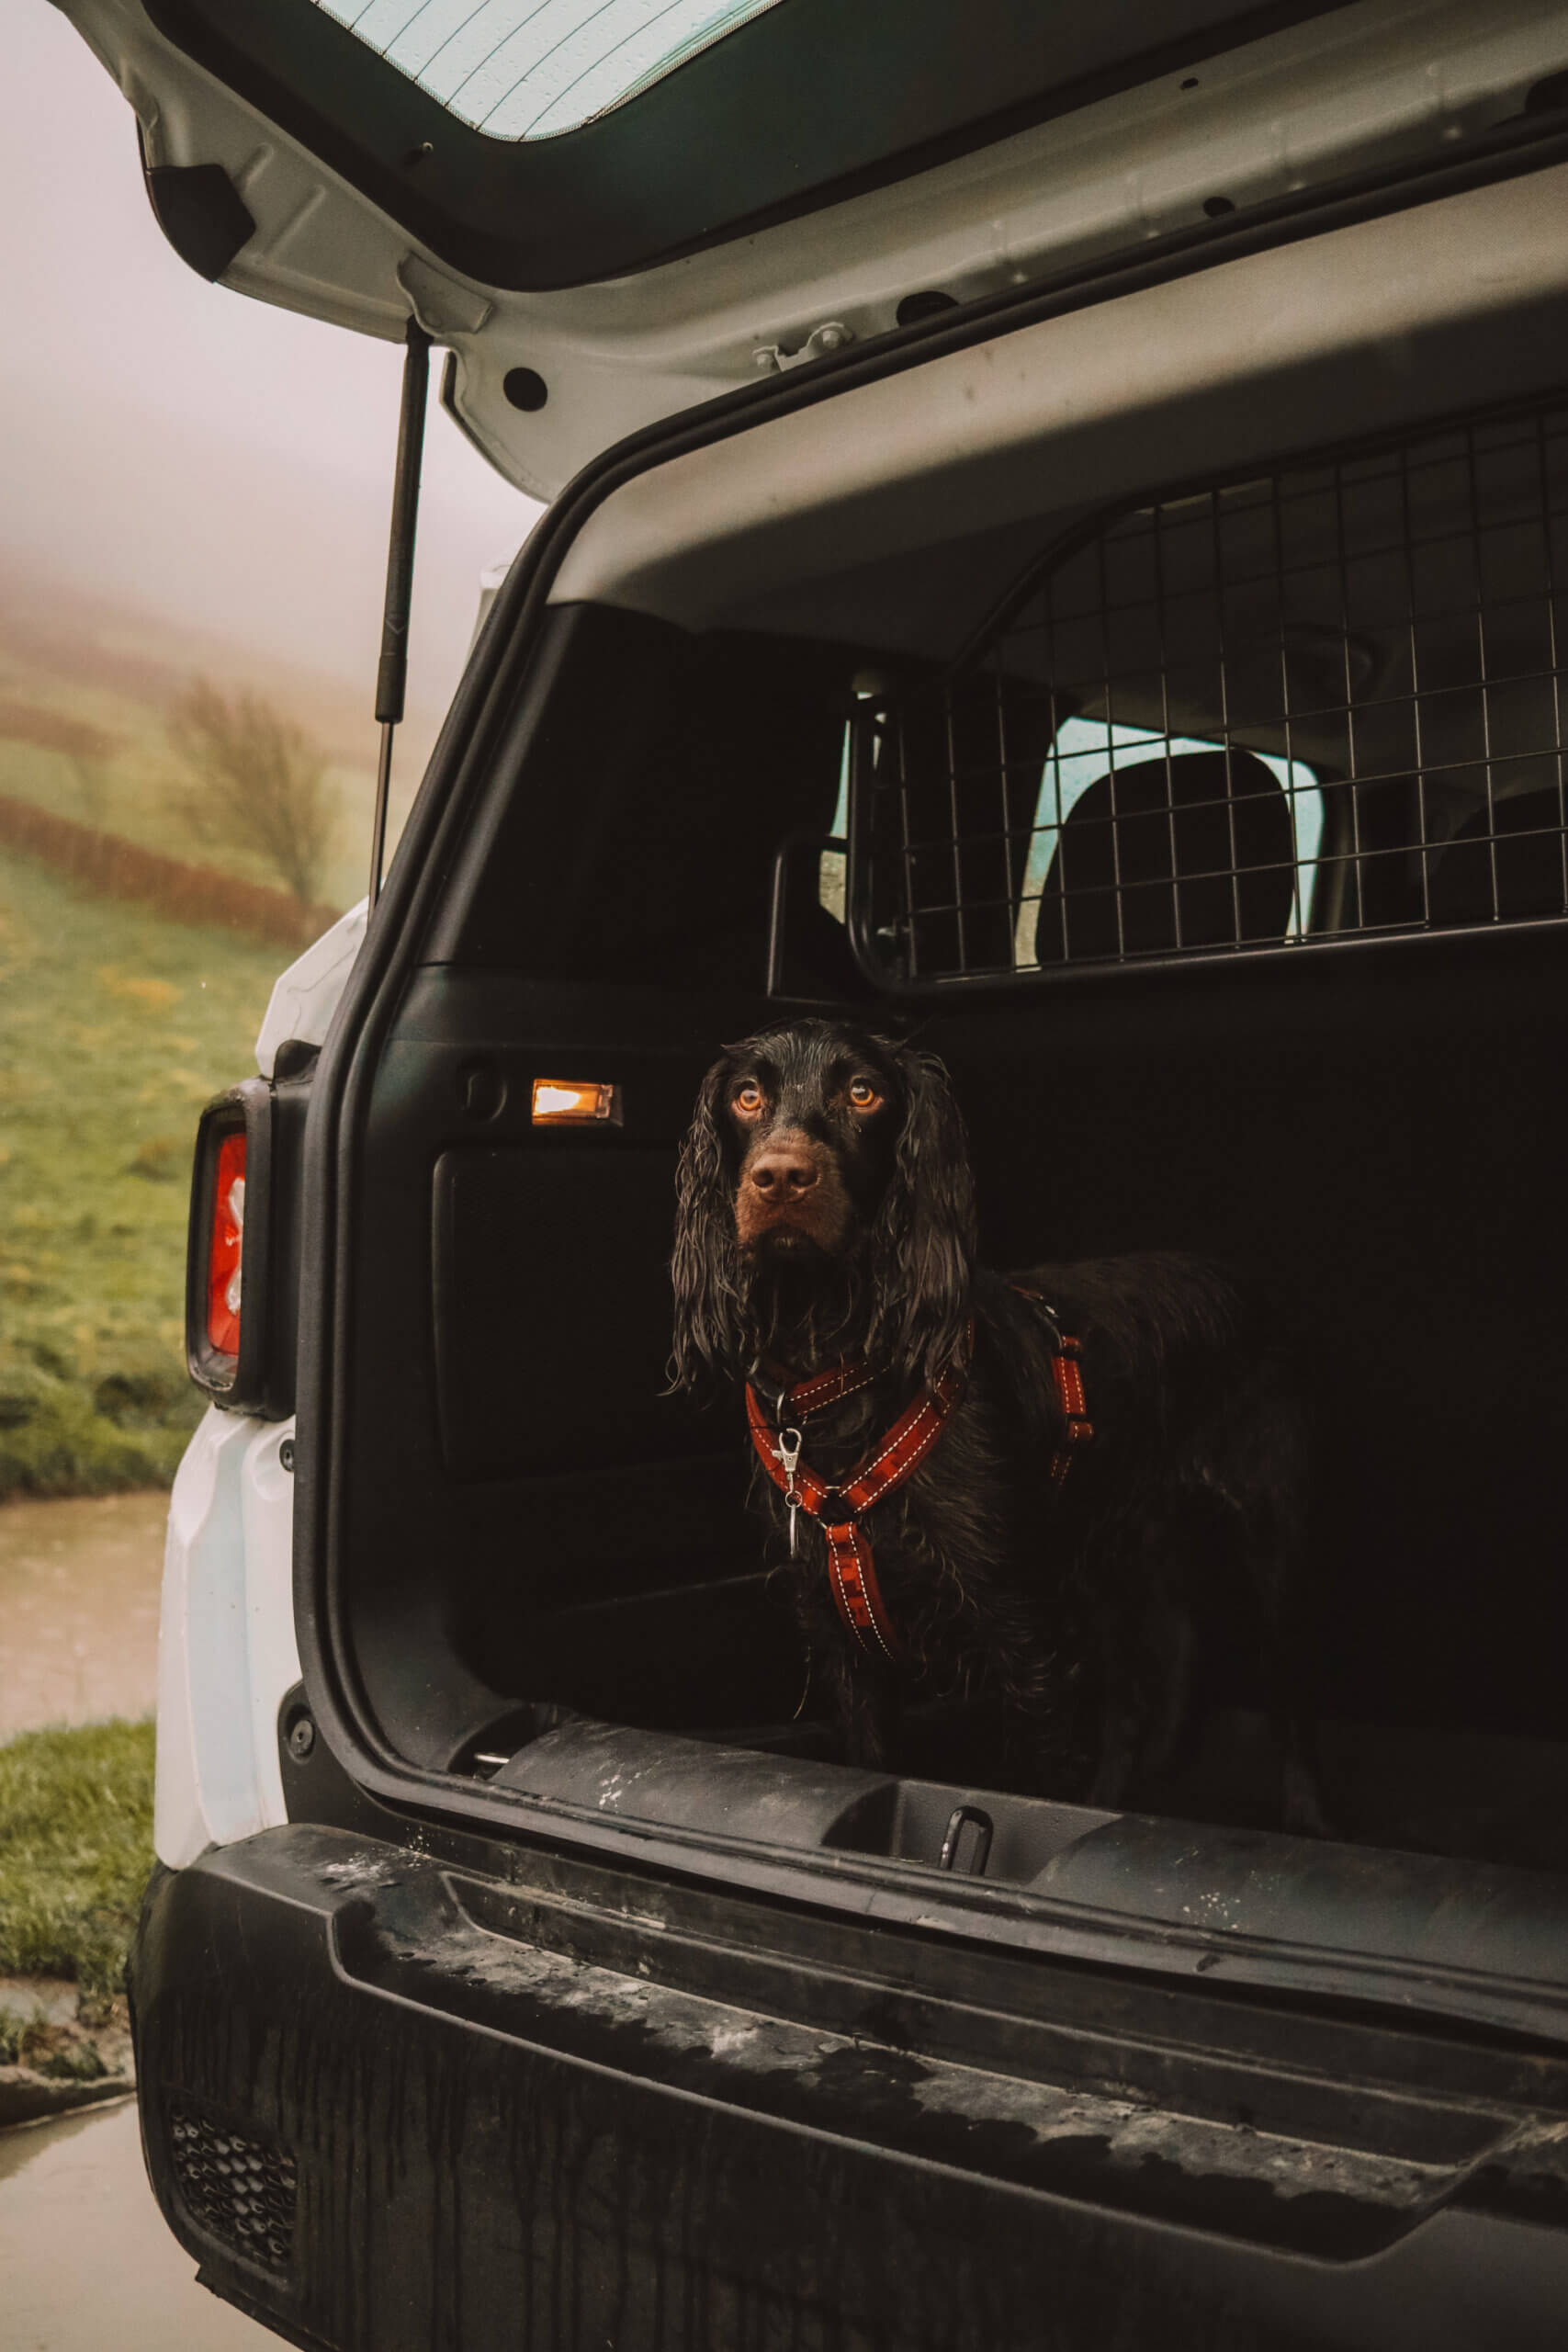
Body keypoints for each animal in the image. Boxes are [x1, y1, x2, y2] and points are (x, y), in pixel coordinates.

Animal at [671, 1021, 1325, 1825]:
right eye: (746, 1096)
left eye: (862, 1092)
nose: (781, 1177)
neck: (840, 1374)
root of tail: (1239, 1282)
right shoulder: (838, 1636)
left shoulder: (1023, 1634)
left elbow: (1035, 1787)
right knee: (1150, 1682)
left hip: (1272, 1548)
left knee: (1288, 1700)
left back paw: (1308, 1820)